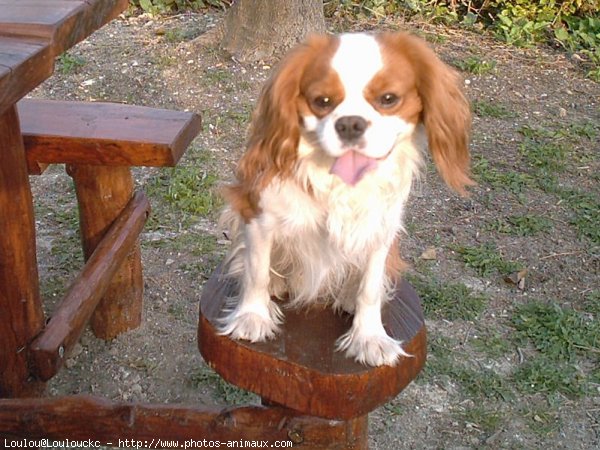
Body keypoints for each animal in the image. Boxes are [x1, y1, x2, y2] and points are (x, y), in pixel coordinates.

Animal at [218, 31, 472, 368]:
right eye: (322, 102)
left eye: (388, 99)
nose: (350, 123)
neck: (338, 182)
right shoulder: (259, 215)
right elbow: (256, 271)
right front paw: (252, 317)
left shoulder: (380, 231)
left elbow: (370, 289)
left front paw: (369, 337)